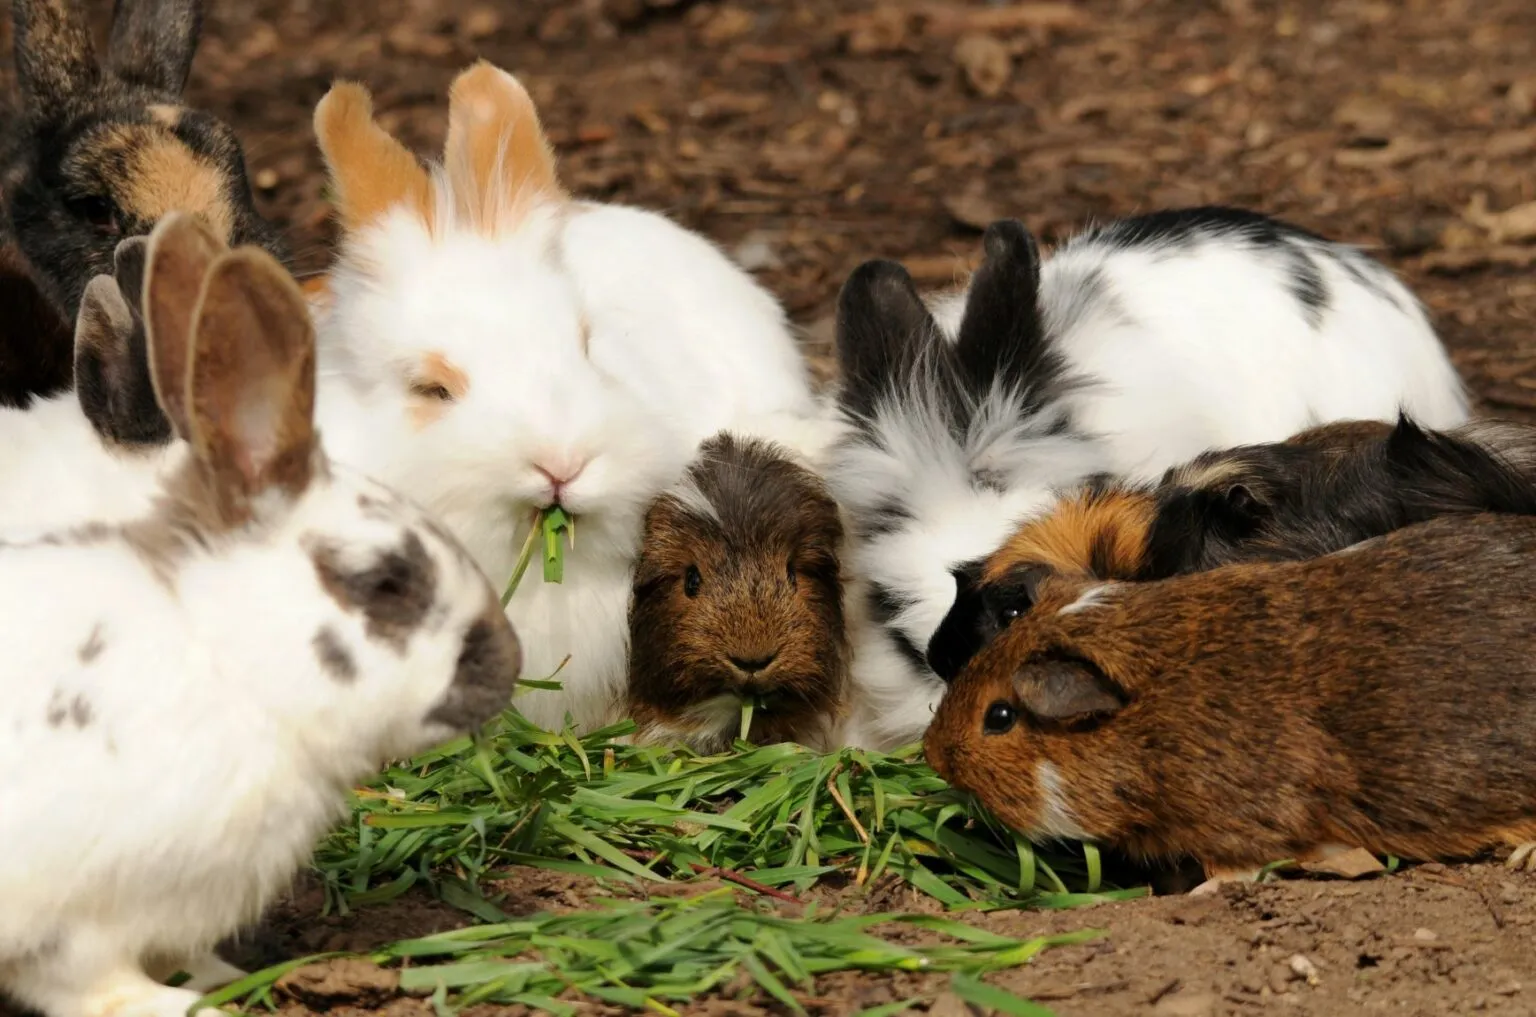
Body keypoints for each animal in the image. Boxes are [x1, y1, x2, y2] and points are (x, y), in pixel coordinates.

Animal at [0, 213, 522, 1017]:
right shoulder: (70, 923)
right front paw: (187, 1005)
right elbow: (94, 985)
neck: (224, 656)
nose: (509, 664)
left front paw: (217, 974)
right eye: (383, 580)